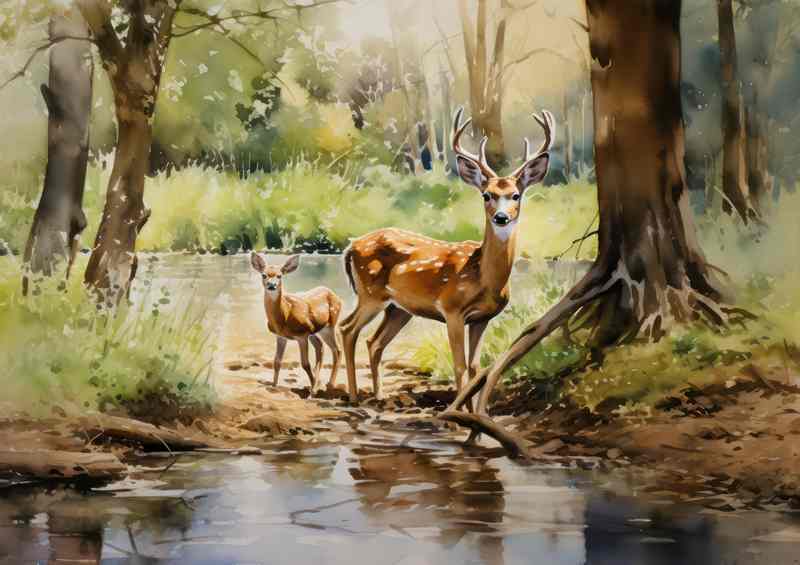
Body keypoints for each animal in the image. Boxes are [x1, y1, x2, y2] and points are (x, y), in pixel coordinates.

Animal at [250, 253, 342, 393]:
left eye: (279, 275)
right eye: (264, 275)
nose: (271, 285)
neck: (284, 315)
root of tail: (335, 295)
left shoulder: (302, 335)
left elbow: (305, 364)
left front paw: (313, 390)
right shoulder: (281, 336)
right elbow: (277, 361)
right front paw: (274, 385)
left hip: (330, 325)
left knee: (337, 350)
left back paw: (329, 385)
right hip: (315, 330)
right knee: (320, 347)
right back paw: (319, 382)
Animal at [339, 107, 554, 411]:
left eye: (516, 195)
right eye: (487, 195)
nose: (501, 217)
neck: (484, 279)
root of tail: (350, 246)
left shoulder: (481, 319)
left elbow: (476, 367)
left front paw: (474, 410)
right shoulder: (452, 309)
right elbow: (460, 365)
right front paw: (457, 409)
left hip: (398, 308)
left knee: (373, 341)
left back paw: (378, 396)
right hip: (371, 294)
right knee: (347, 329)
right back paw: (354, 396)